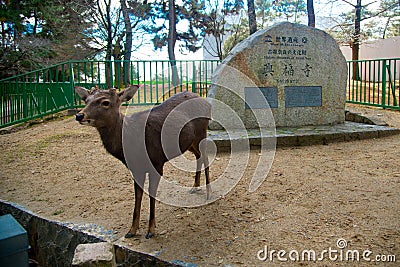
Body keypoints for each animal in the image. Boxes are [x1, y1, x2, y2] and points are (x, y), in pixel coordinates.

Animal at [73, 85, 211, 240]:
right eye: (86, 100)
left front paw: (151, 230)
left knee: (206, 157)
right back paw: (195, 186)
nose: (79, 115)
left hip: (201, 132)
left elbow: (151, 194)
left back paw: (209, 192)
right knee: (199, 157)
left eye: (105, 102)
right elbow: (137, 196)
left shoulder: (157, 162)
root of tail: (206, 101)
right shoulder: (135, 169)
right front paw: (132, 230)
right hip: (190, 143)